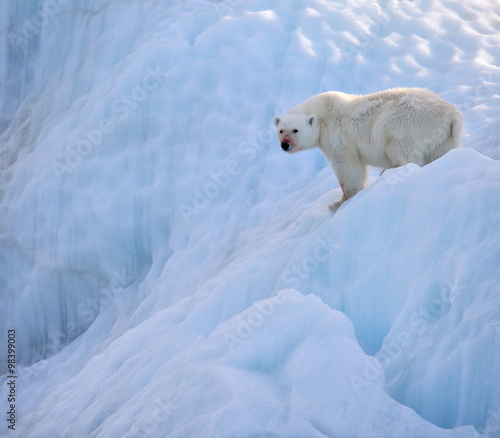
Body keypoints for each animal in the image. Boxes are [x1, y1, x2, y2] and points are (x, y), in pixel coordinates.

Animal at [276, 88, 462, 211]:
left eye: (295, 130)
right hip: (446, 139)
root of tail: (450, 116)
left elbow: (346, 166)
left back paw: (390, 168)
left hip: (404, 125)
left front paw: (338, 203)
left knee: (403, 152)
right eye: (280, 130)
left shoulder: (337, 134)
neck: (322, 113)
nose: (285, 145)